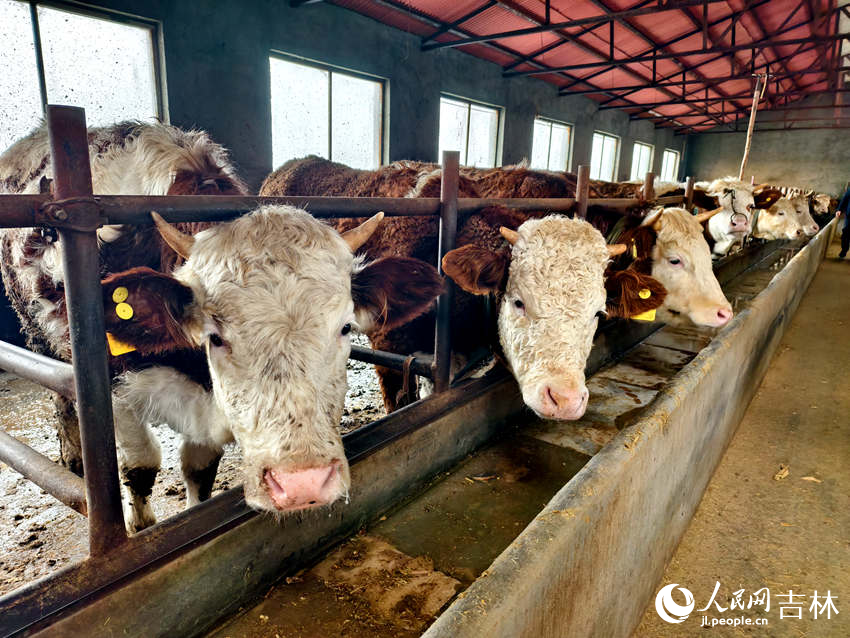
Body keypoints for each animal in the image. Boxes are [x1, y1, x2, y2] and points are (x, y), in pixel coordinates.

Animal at [1, 125, 443, 532]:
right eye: (215, 336)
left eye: (345, 328)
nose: (303, 484)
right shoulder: (116, 391)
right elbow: (141, 467)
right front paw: (141, 526)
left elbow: (199, 470)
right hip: (39, 337)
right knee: (62, 396)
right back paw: (74, 457)